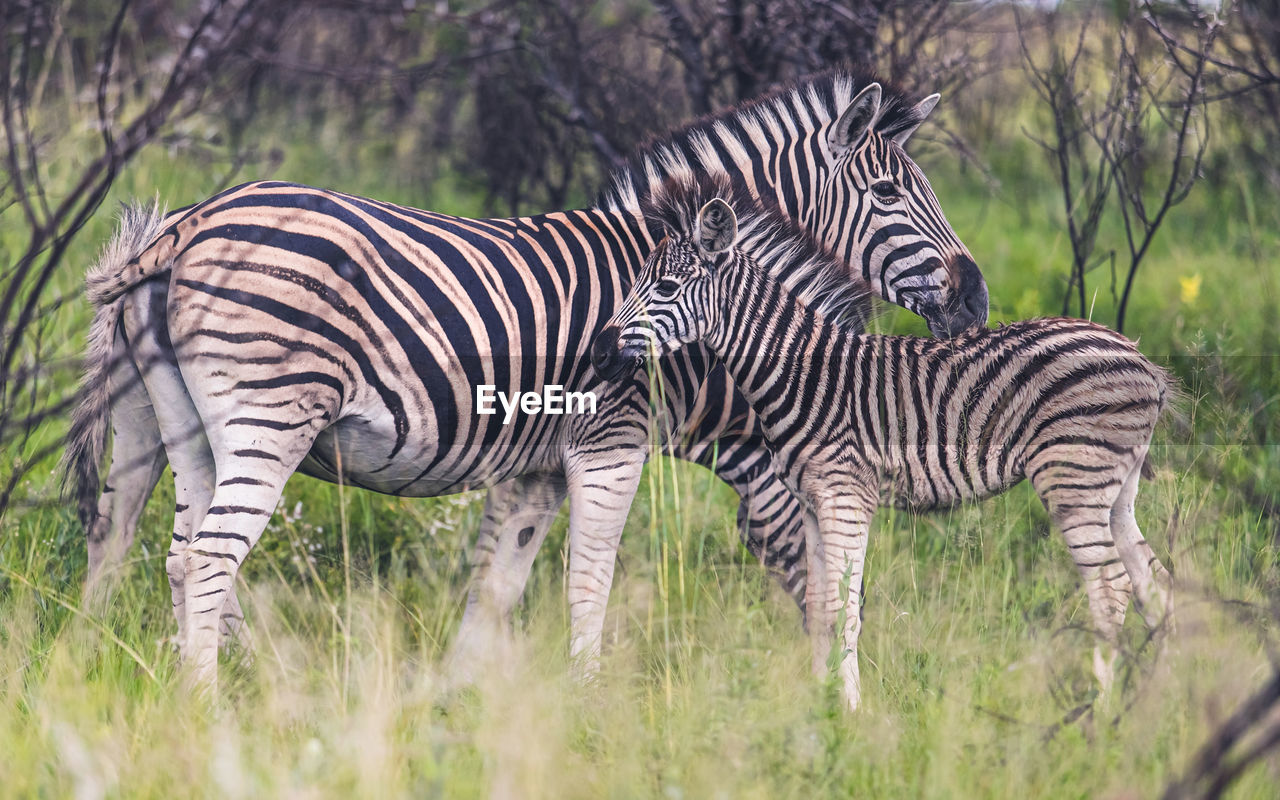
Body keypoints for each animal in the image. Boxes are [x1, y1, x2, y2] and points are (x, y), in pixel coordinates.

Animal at [62, 71, 988, 680]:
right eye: (888, 194)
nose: (976, 299)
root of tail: (185, 227)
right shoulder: (609, 443)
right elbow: (590, 581)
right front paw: (588, 705)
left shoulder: (533, 465)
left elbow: (496, 590)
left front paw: (456, 706)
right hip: (267, 416)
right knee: (209, 556)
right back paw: (206, 701)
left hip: (160, 420)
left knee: (137, 543)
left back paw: (102, 672)